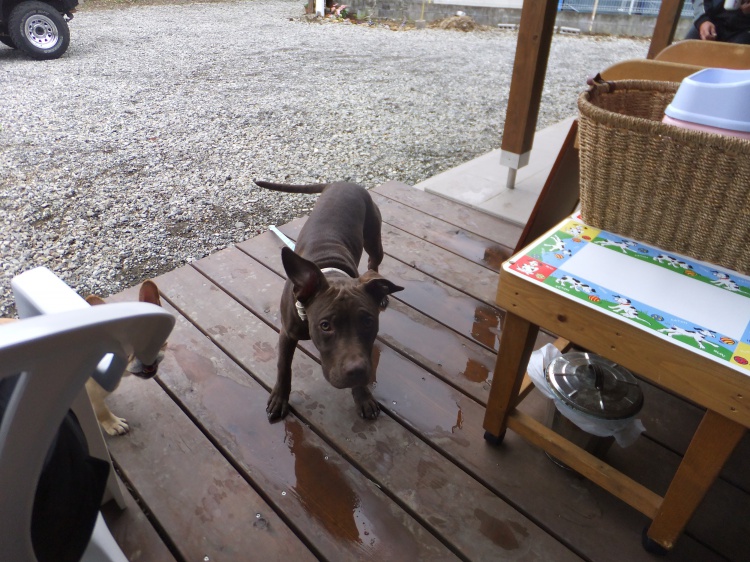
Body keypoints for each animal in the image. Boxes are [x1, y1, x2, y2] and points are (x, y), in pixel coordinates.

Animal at [254, 180, 404, 422]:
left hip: (374, 240)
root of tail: (343, 182)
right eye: (325, 325)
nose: (357, 371)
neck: (330, 270)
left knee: (373, 263)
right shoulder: (287, 334)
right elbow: (283, 367)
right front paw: (279, 398)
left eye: (368, 322)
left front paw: (363, 396)